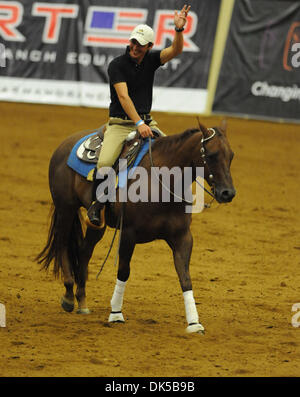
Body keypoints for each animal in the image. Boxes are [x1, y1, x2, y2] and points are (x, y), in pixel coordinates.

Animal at [36, 119, 236, 332]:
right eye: (212, 155)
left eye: (231, 155)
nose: (228, 193)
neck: (162, 181)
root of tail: (65, 144)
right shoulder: (128, 234)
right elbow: (124, 271)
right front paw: (116, 313)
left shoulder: (182, 237)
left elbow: (185, 277)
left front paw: (194, 322)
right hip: (66, 208)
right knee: (62, 244)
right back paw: (68, 295)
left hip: (97, 224)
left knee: (84, 251)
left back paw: (82, 301)